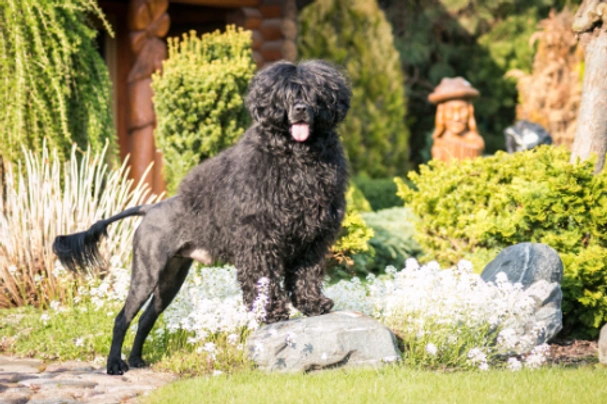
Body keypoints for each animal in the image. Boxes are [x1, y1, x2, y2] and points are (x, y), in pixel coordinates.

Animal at [54, 60, 354, 376]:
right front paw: (271, 314)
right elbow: (265, 281)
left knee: (146, 318)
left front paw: (314, 305)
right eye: (285, 94)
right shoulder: (260, 240)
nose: (300, 109)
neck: (295, 156)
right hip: (147, 272)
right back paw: (114, 364)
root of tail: (150, 208)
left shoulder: (313, 239)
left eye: (313, 93)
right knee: (122, 318)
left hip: (171, 277)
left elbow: (307, 275)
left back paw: (136, 359)